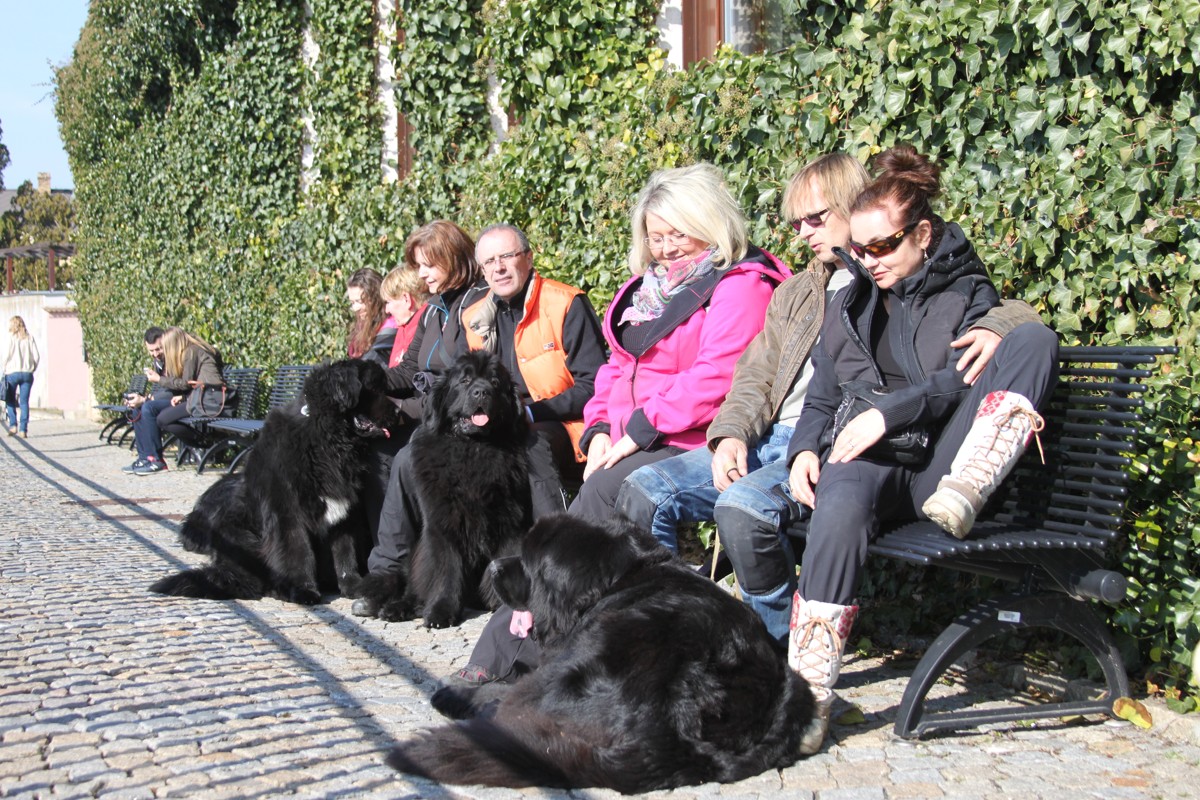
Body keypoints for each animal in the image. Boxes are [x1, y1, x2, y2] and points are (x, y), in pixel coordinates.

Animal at [148, 359, 397, 604]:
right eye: (374, 388)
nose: (397, 411)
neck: (329, 440)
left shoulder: (344, 512)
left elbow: (345, 553)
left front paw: (353, 586)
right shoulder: (288, 512)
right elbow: (298, 552)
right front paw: (302, 589)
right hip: (242, 536)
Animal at [356, 350, 533, 628]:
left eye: (495, 382)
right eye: (465, 381)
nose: (481, 392)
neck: (473, 449)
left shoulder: (510, 522)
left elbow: (501, 561)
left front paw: (502, 604)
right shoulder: (442, 524)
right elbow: (446, 569)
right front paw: (441, 611)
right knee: (414, 587)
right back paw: (398, 608)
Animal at [388, 515, 816, 792]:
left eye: (526, 561)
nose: (493, 566)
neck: (616, 580)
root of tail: (675, 729)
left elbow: (503, 688)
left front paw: (459, 692)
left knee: (516, 705)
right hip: (798, 687)